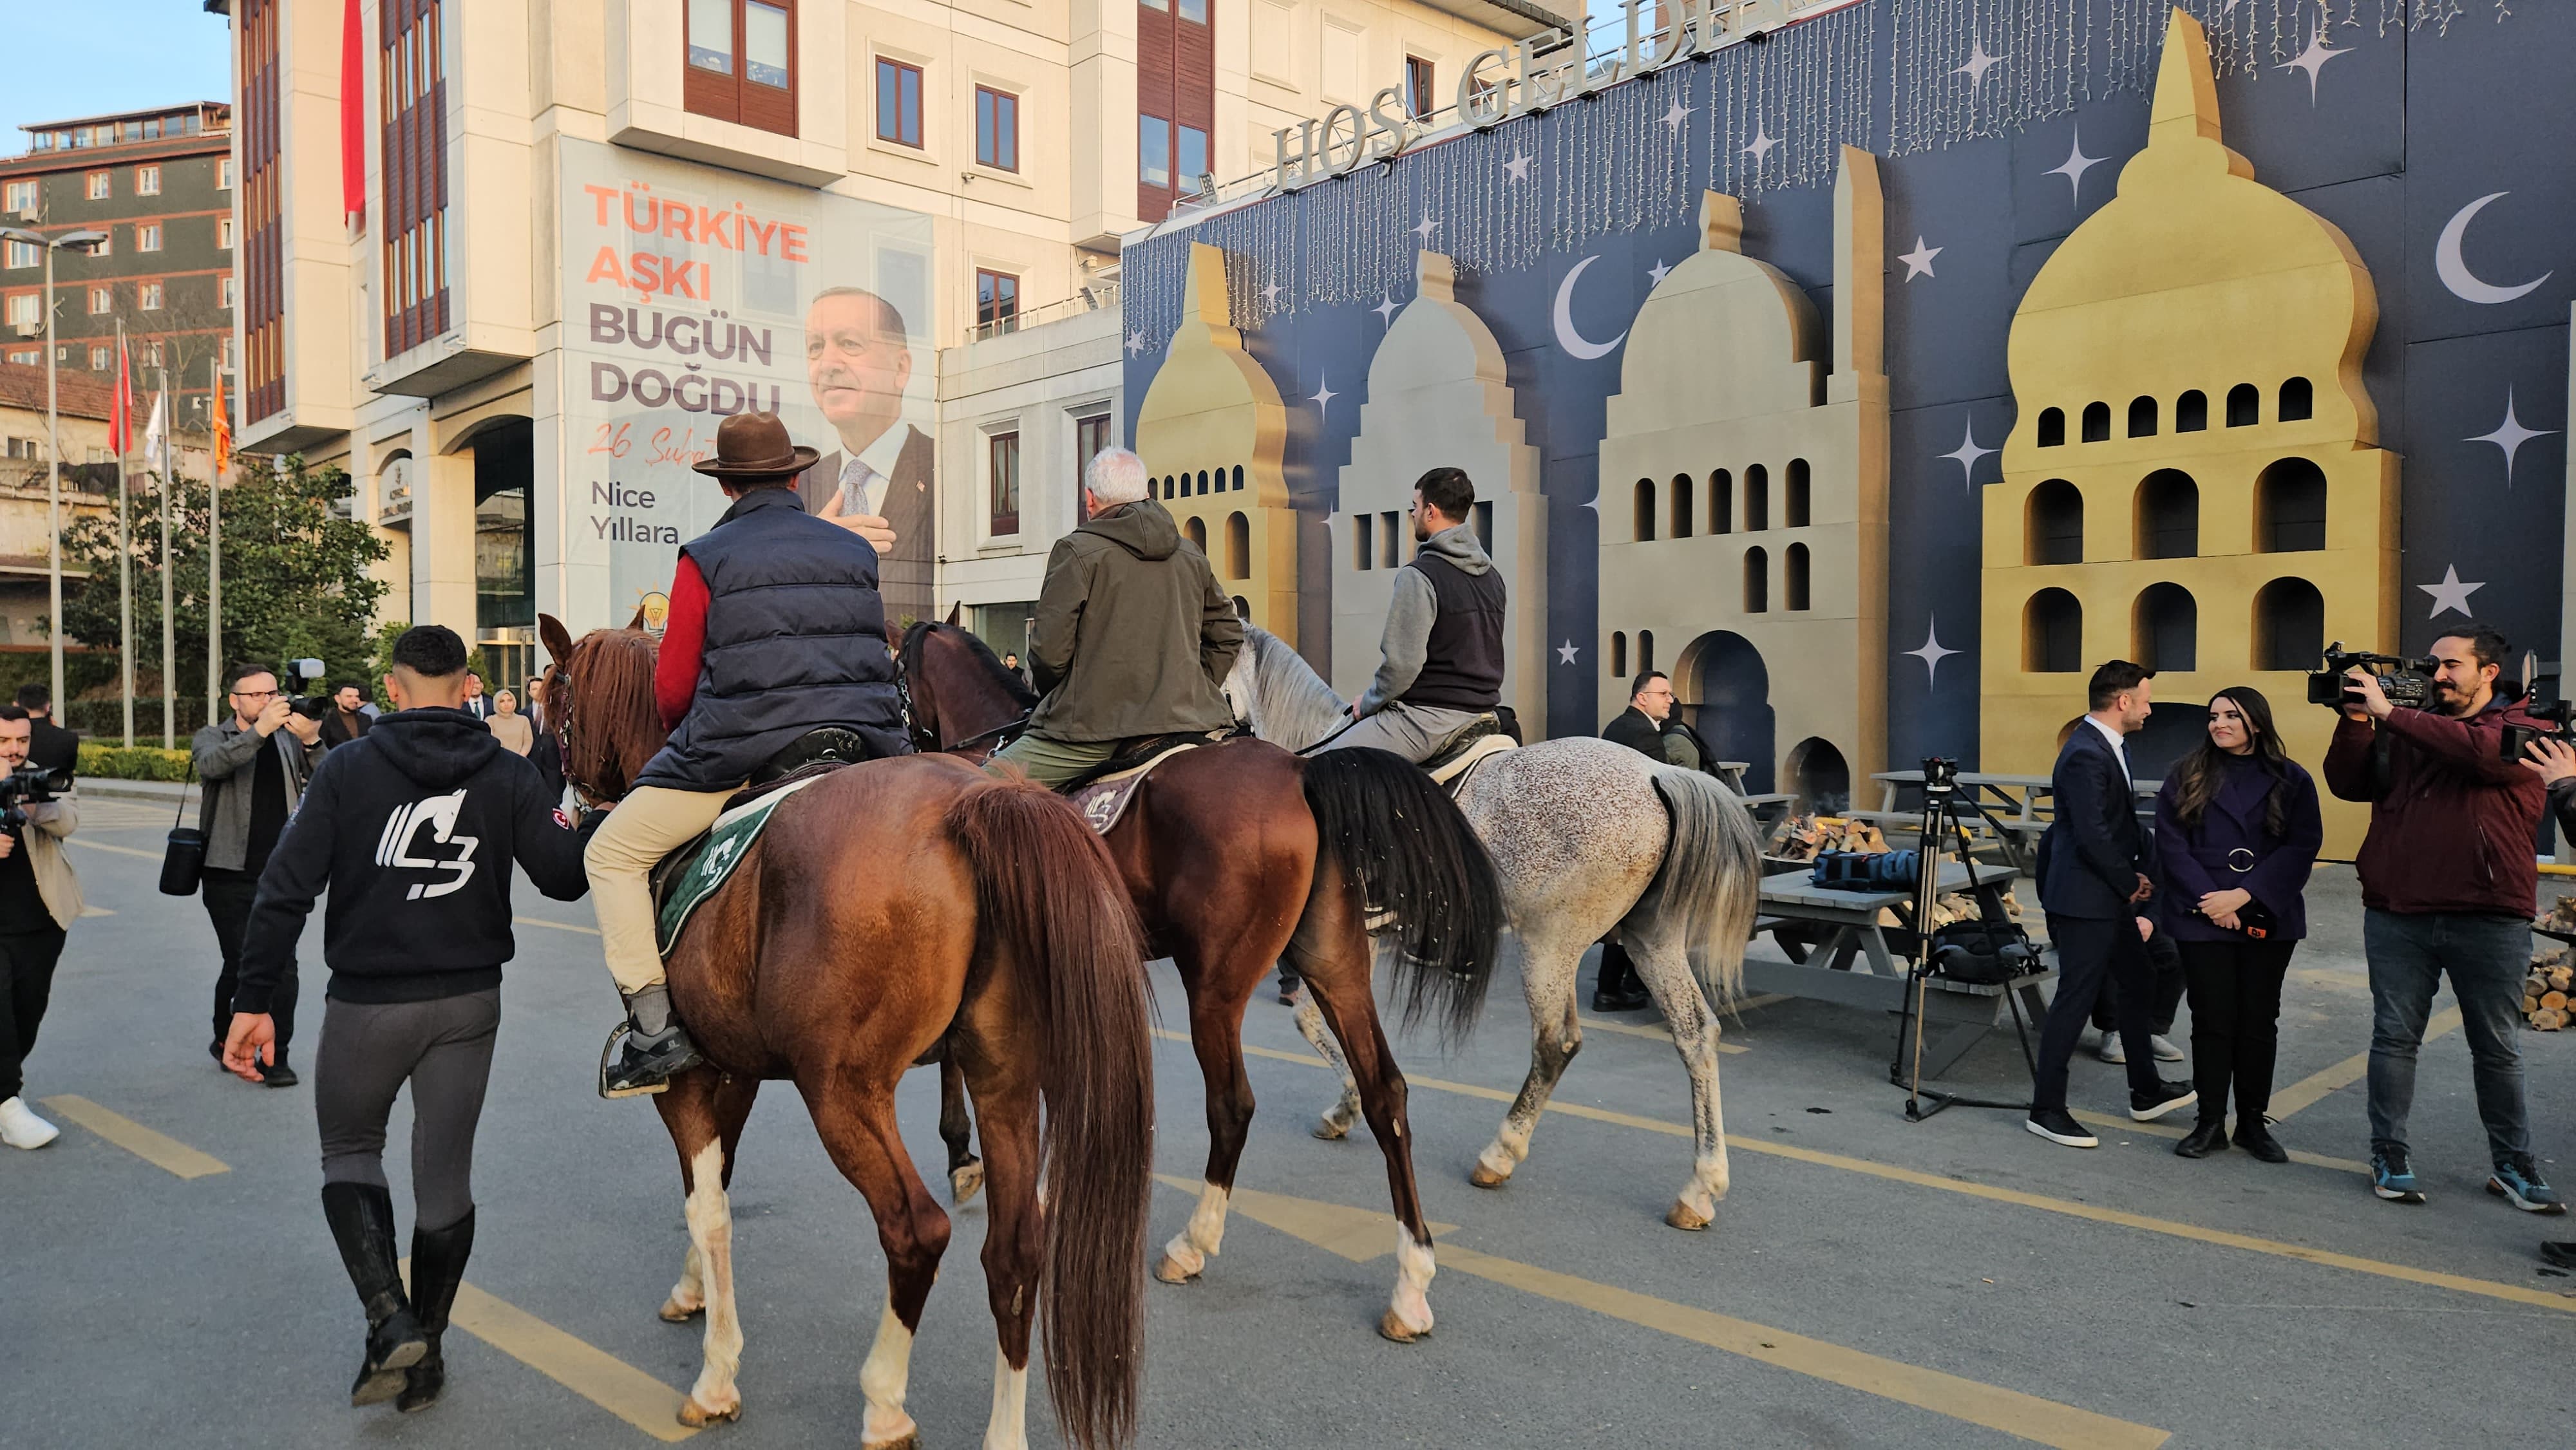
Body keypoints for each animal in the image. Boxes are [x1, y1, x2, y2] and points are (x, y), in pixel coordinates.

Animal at [538, 616, 1154, 1450]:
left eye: (553, 703)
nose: (566, 805)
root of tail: (972, 803)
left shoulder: (687, 1075)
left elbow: (708, 1205)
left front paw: (717, 1373)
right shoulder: (733, 1066)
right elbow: (719, 1179)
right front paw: (693, 1289)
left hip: (845, 1093)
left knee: (917, 1230)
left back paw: (884, 1400)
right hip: (1004, 1079)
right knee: (1017, 1249)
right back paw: (1002, 1428)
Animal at [891, 618, 1504, 1350]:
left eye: (897, 679)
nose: (903, 740)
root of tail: (1301, 772)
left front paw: (969, 1158)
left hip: (1215, 985)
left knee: (1233, 1106)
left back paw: (1192, 1243)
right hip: (1337, 964)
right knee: (1385, 1091)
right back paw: (1410, 1282)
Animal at [1226, 631, 1772, 1231]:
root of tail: (1659, 776)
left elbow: (1311, 1020)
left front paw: (1347, 1104)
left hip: (1549, 945)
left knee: (1555, 1043)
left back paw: (1501, 1153)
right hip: (1651, 942)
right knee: (1695, 1034)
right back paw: (1701, 1185)